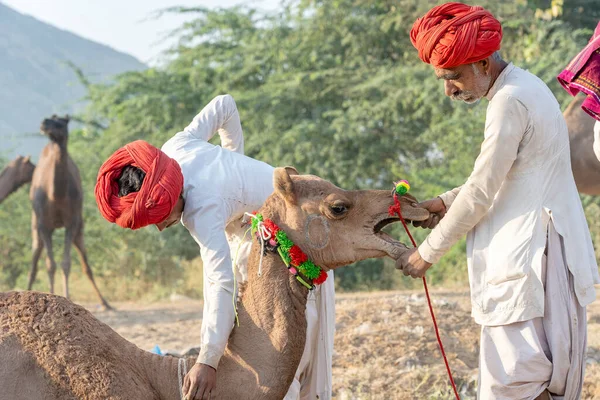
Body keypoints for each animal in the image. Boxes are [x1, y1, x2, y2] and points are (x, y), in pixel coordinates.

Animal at [28, 115, 110, 310]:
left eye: (62, 121)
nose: (44, 124)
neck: (56, 194)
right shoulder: (44, 224)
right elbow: (50, 264)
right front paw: (50, 295)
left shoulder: (72, 222)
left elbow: (66, 263)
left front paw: (66, 297)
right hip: (35, 222)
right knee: (35, 254)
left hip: (79, 225)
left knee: (84, 261)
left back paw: (106, 303)